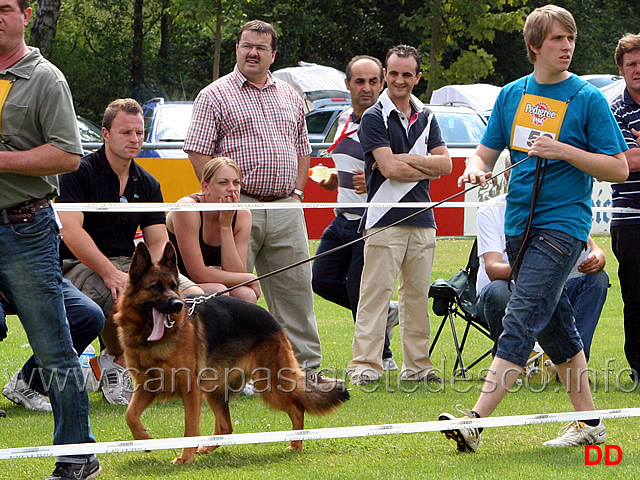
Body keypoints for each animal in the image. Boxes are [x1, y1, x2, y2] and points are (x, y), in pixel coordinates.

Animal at [116, 242, 350, 464]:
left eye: (174, 286)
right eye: (155, 287)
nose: (177, 305)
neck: (151, 338)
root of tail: (273, 321)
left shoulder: (190, 391)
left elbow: (190, 428)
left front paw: (185, 458)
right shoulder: (147, 386)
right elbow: (130, 415)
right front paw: (144, 439)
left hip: (269, 385)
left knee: (297, 408)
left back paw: (296, 444)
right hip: (215, 389)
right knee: (226, 426)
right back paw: (208, 448)